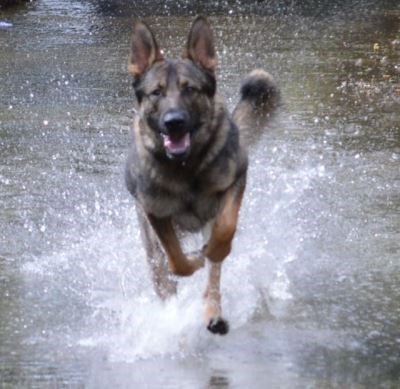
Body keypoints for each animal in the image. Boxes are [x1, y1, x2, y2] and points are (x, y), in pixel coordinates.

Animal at [125, 15, 278, 334]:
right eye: (156, 92)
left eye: (190, 89)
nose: (174, 122)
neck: (186, 169)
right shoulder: (155, 214)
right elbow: (177, 260)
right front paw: (193, 261)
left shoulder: (236, 179)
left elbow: (225, 229)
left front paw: (214, 251)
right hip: (151, 253)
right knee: (165, 279)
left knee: (213, 281)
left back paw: (213, 313)